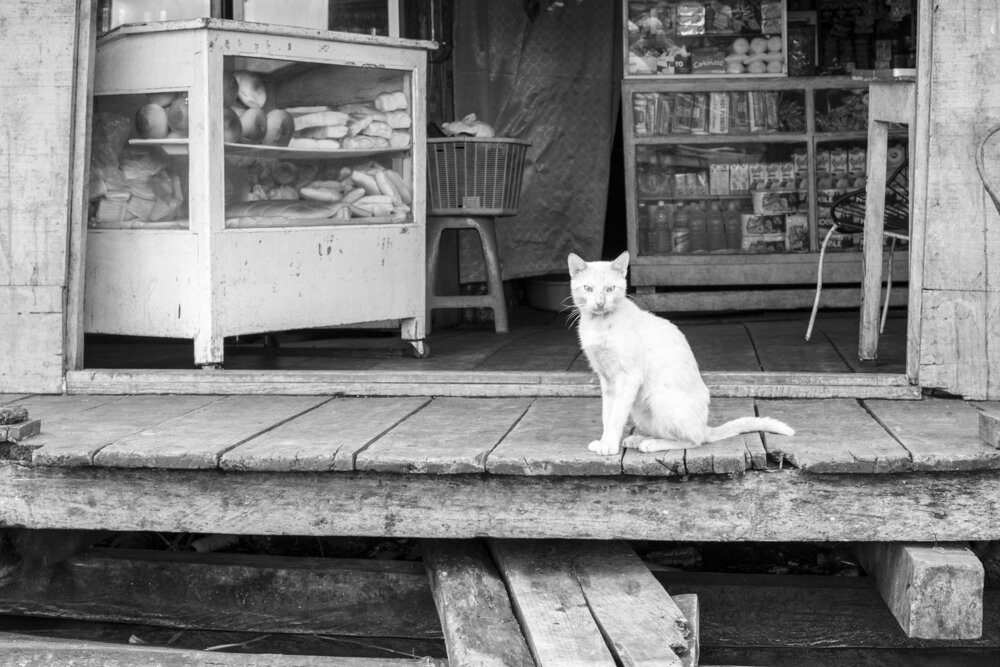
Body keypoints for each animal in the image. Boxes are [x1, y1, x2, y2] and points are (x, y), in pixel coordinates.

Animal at [568, 253, 792, 456]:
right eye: (588, 288)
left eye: (610, 289)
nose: (600, 303)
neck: (599, 325)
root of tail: (704, 426)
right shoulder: (606, 380)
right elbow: (607, 415)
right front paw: (604, 442)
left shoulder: (629, 377)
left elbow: (616, 417)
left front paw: (609, 446)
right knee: (670, 433)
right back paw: (638, 439)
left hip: (658, 396)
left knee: (693, 440)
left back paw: (650, 444)